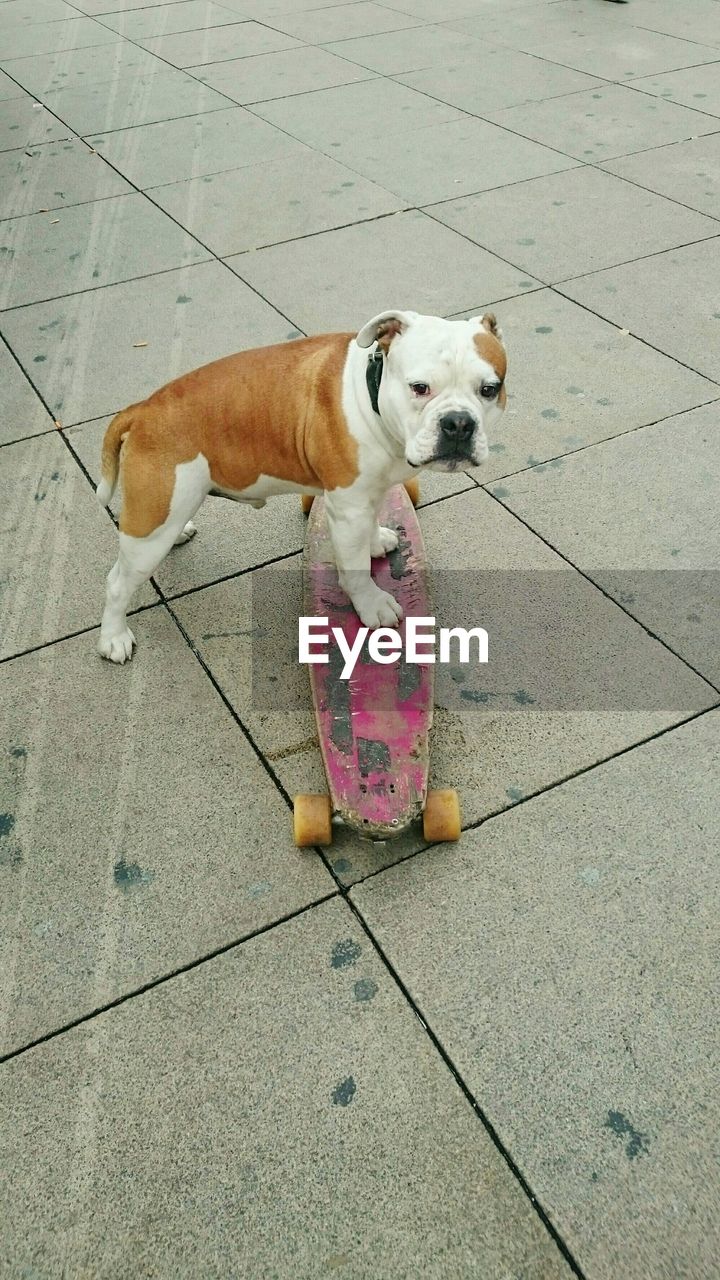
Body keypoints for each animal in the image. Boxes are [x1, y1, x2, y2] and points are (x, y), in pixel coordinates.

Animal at [96, 311, 504, 665]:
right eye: (419, 388)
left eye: (490, 389)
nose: (458, 423)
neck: (371, 395)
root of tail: (142, 410)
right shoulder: (349, 506)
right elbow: (355, 570)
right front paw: (371, 604)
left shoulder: (364, 496)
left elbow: (370, 526)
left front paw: (375, 542)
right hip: (151, 528)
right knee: (116, 582)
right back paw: (113, 638)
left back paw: (181, 533)